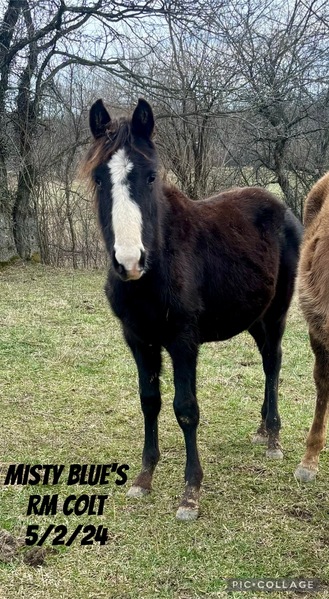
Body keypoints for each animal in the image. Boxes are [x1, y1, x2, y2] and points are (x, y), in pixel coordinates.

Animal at [83, 98, 302, 520]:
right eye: (100, 179)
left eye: (151, 177)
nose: (129, 261)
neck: (157, 267)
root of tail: (282, 209)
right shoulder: (139, 340)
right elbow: (149, 402)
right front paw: (144, 479)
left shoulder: (183, 341)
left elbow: (186, 408)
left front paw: (190, 493)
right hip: (253, 317)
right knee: (267, 358)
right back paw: (261, 431)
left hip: (276, 312)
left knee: (273, 362)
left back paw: (273, 437)